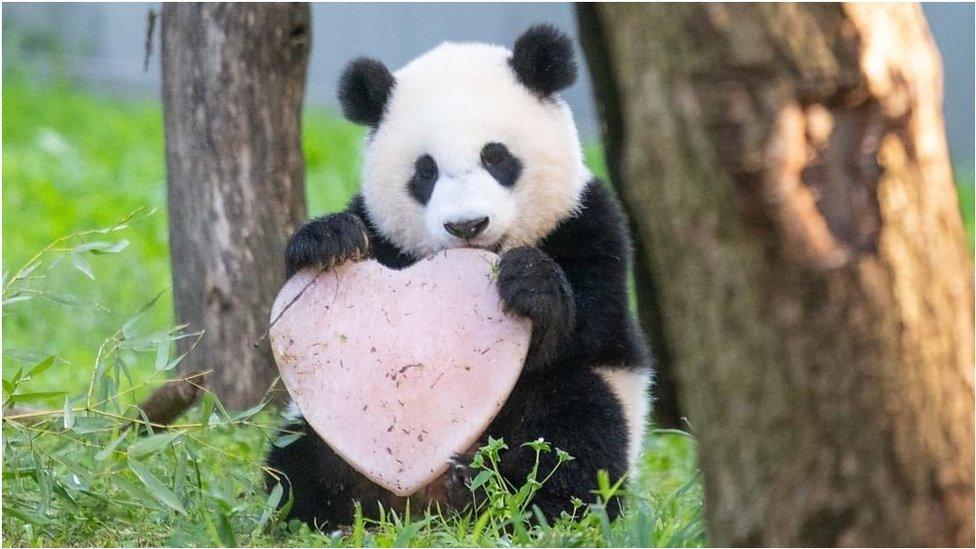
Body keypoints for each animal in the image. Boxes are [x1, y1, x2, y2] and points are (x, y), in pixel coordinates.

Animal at [264, 24, 652, 528]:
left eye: (496, 157)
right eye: (425, 171)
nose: (467, 225)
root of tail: (424, 502)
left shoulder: (589, 223)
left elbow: (591, 322)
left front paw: (530, 283)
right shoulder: (382, 233)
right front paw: (328, 240)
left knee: (576, 428)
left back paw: (509, 496)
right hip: (319, 423)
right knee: (297, 462)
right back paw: (337, 501)